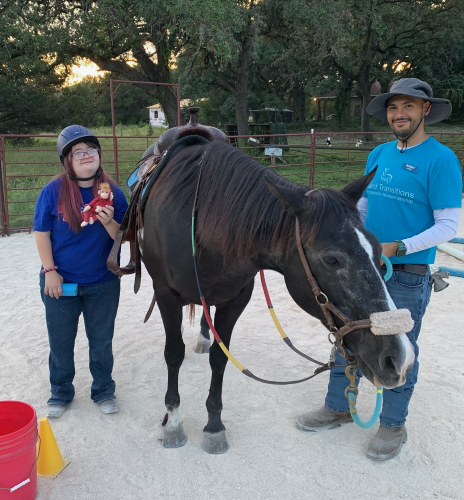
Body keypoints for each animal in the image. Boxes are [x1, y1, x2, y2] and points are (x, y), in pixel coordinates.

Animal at [140, 140, 414, 454]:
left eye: (379, 250)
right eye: (332, 259)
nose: (400, 358)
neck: (199, 223)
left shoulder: (235, 301)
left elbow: (220, 358)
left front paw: (214, 426)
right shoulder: (165, 295)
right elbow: (173, 355)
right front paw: (173, 422)